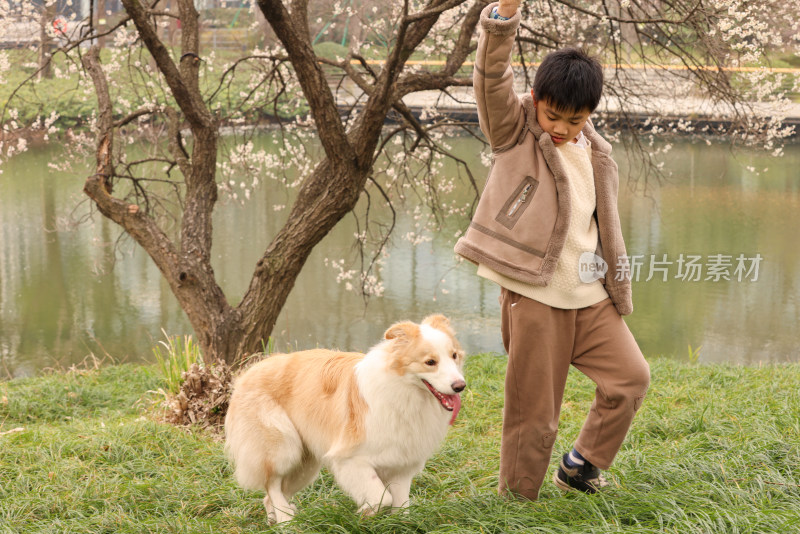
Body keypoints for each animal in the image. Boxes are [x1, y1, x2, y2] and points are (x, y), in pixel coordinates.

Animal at [222, 316, 466, 524]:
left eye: (454, 356)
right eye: (430, 362)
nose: (460, 386)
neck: (402, 389)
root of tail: (248, 371)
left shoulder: (402, 465)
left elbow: (401, 505)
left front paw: (398, 522)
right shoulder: (350, 459)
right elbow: (382, 497)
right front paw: (365, 512)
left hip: (305, 464)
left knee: (271, 494)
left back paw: (277, 517)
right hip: (283, 448)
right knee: (272, 484)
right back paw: (285, 520)